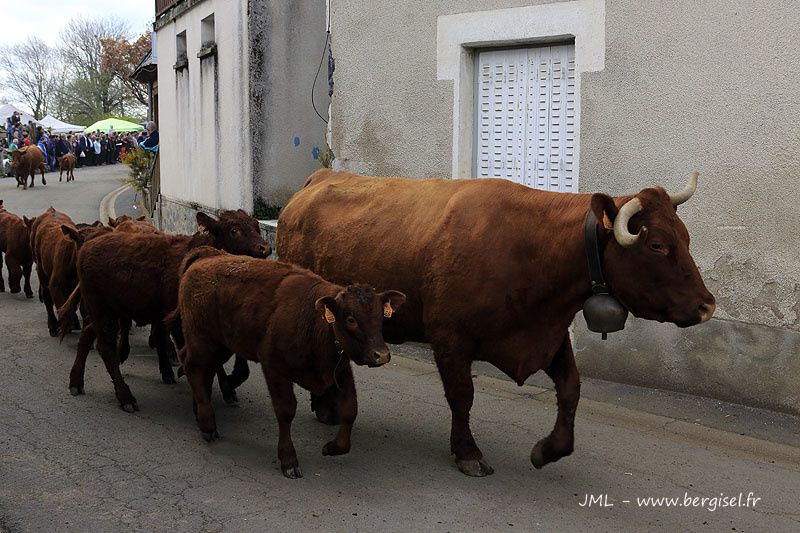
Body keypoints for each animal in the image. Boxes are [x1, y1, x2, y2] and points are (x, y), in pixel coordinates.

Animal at [69, 208, 268, 408]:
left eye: (256, 225)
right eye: (234, 230)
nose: (265, 248)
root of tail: (89, 245)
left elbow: (238, 363)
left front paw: (229, 386)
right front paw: (224, 386)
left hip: (109, 311)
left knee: (88, 333)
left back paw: (76, 382)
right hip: (102, 310)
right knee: (106, 347)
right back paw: (126, 397)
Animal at [173, 248, 404, 478]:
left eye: (381, 317)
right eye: (351, 319)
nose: (382, 355)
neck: (313, 320)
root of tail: (207, 255)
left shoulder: (340, 371)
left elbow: (350, 409)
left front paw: (332, 447)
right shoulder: (275, 368)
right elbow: (286, 411)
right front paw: (289, 459)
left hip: (221, 345)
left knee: (198, 366)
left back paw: (199, 410)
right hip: (202, 340)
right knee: (193, 367)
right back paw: (207, 424)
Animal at [278, 169, 716, 474]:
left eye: (686, 237)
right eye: (656, 245)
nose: (706, 306)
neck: (530, 246)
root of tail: (319, 178)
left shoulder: (548, 335)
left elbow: (571, 389)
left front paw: (549, 449)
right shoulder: (450, 339)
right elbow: (462, 396)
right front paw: (467, 452)